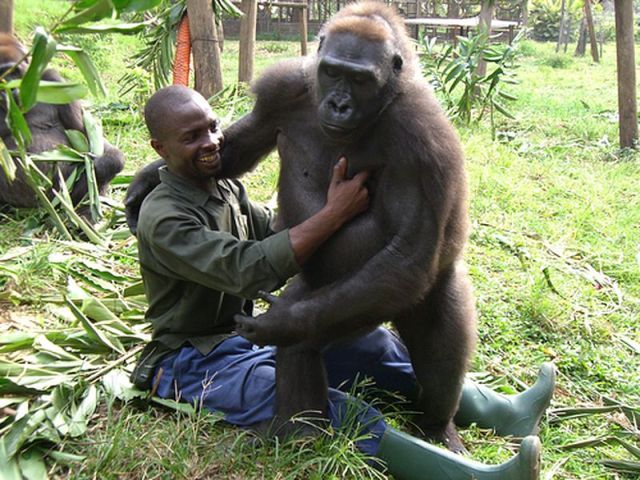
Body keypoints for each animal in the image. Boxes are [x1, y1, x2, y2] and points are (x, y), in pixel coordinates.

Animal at [0, 33, 124, 212]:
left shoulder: (56, 80)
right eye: (2, 76)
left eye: (14, 72)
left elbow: (85, 133)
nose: (9, 90)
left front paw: (104, 163)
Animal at [126, 0, 476, 452]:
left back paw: (435, 424)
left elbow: (409, 252)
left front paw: (279, 324)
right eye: (332, 71)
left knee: (431, 342)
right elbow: (235, 148)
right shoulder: (282, 88)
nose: (339, 104)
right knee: (311, 337)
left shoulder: (425, 139)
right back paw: (300, 431)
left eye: (360, 79)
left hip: (387, 298)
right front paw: (149, 178)